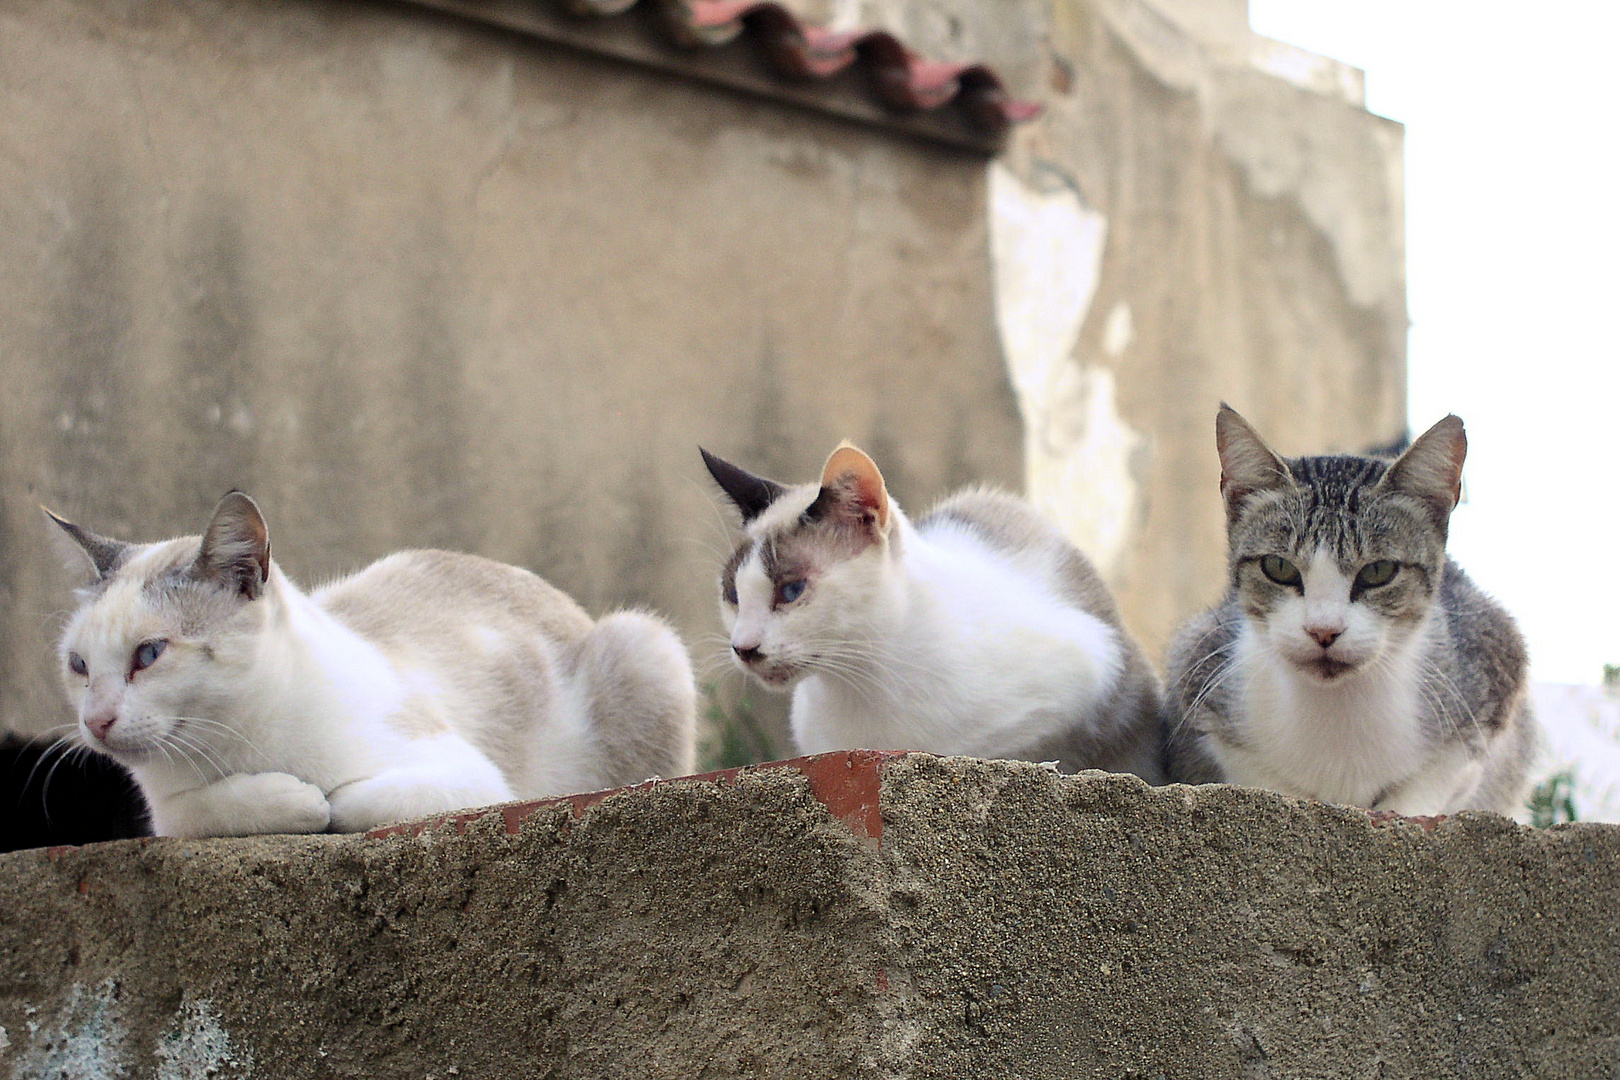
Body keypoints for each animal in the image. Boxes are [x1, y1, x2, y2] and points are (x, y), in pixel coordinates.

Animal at [49, 488, 696, 835]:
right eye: (78, 665)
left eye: (149, 654)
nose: (95, 722)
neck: (239, 743)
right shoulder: (169, 815)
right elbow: (216, 809)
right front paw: (290, 799)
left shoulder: (468, 777)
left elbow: (343, 801)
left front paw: (316, 801)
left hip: (644, 643)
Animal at [703, 443, 1159, 780]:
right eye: (732, 594)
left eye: (791, 590)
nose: (744, 647)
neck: (863, 682)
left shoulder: (1086, 673)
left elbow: (1021, 751)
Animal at [1166, 409, 1529, 816]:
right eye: (1278, 567)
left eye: (1379, 571)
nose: (1323, 630)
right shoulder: (1197, 662)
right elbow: (1260, 777)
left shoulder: (1492, 665)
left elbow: (1433, 783)